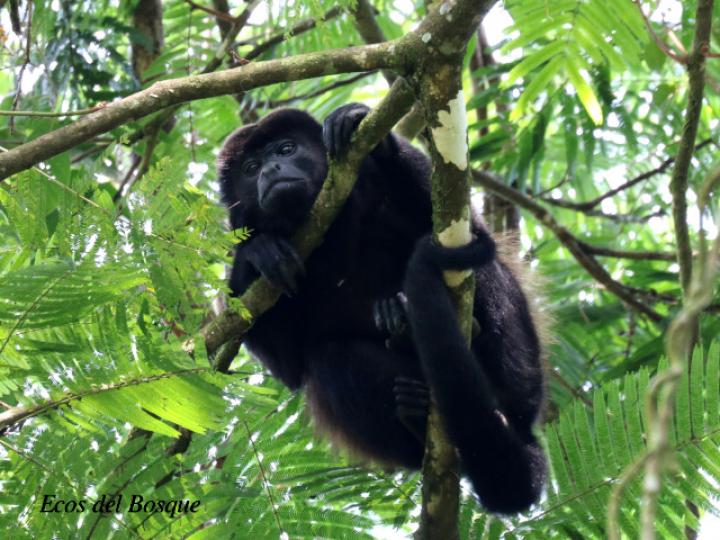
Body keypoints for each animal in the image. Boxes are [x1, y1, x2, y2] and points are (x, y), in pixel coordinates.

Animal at [217, 103, 546, 513]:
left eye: (286, 149)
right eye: (249, 169)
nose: (270, 170)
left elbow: (465, 225)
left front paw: (360, 126)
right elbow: (288, 364)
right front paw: (258, 251)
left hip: (522, 374)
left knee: (483, 268)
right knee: (328, 358)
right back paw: (414, 409)